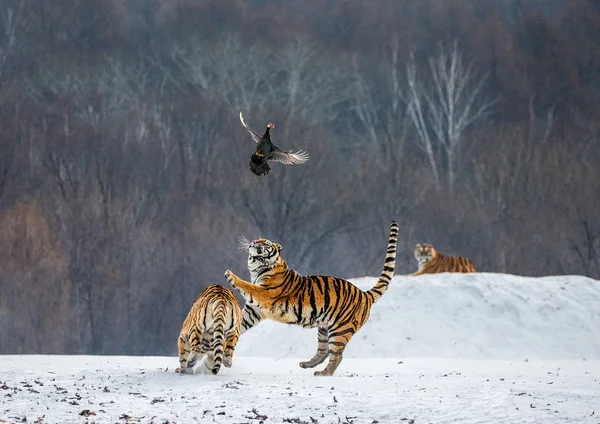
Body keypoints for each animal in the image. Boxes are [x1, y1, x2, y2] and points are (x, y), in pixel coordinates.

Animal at [224, 220, 398, 376]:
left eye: (265, 243)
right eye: (258, 239)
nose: (254, 242)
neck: (257, 266)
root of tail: (364, 294)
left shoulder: (264, 293)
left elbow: (247, 286)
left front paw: (230, 275)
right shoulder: (254, 310)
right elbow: (239, 325)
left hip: (340, 330)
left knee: (337, 356)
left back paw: (324, 373)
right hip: (325, 328)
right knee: (324, 351)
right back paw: (307, 364)